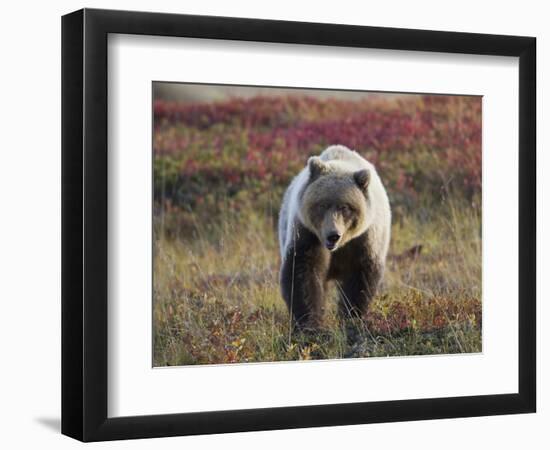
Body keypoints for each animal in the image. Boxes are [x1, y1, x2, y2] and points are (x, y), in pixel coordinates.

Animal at [280, 146, 392, 328]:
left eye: (345, 207)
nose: (333, 235)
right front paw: (310, 322)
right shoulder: (307, 234)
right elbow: (303, 273)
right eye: (322, 205)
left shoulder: (365, 240)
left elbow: (360, 277)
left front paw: (351, 316)